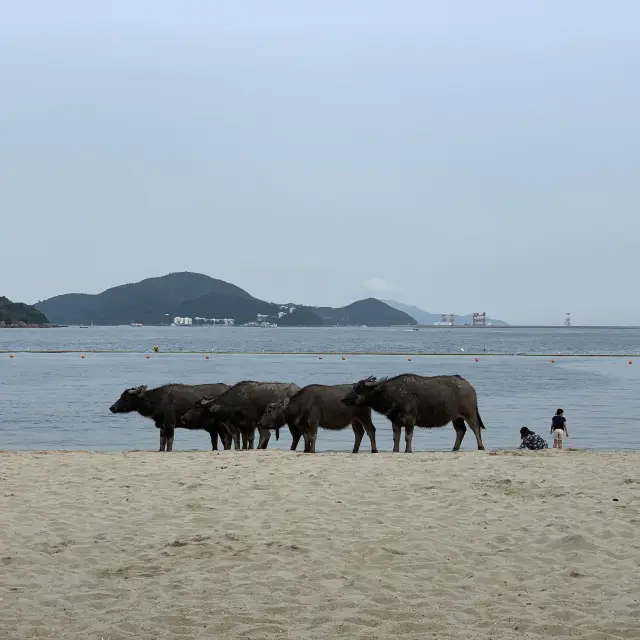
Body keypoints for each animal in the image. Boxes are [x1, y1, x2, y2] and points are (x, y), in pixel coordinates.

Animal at [344, 372, 484, 452]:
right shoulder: (395, 421)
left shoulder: (410, 420)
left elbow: (408, 437)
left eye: (359, 389)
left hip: (469, 414)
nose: (343, 399)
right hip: (456, 418)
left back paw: (481, 446)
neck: (392, 394)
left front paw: (408, 450)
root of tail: (469, 386)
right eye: (354, 388)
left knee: (475, 428)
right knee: (461, 430)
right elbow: (396, 438)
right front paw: (395, 450)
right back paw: (455, 448)